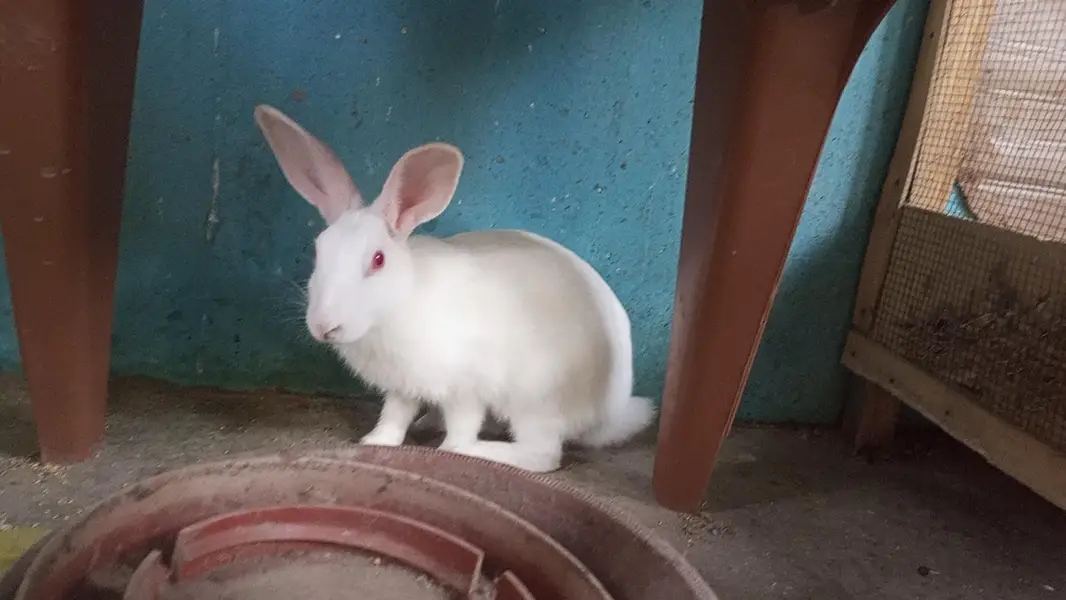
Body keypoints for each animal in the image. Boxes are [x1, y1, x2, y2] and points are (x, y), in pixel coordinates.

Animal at [254, 104, 656, 472]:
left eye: (378, 260)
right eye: (318, 250)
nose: (324, 326)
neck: (396, 306)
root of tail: (609, 410)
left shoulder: (466, 387)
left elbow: (463, 425)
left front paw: (453, 449)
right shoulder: (402, 386)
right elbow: (394, 416)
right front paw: (375, 441)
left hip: (532, 401)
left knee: (542, 455)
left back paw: (480, 450)